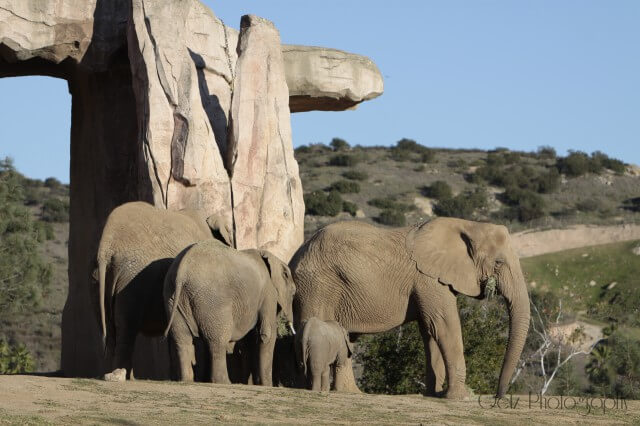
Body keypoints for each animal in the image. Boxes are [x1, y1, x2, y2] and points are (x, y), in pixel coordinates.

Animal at [93, 201, 233, 380]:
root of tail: (107, 244)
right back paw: (125, 376)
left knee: (112, 332)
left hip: (99, 280)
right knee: (126, 329)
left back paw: (123, 375)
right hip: (131, 279)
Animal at [163, 240, 296, 385]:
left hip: (173, 298)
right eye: (293, 293)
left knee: (183, 339)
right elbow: (267, 333)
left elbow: (251, 337)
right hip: (213, 300)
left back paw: (187, 380)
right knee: (218, 340)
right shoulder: (269, 292)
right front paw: (266, 385)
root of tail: (182, 271)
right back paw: (224, 382)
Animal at [290, 217, 530, 399]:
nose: (498, 396)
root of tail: (296, 255)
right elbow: (444, 326)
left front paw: (434, 394)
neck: (468, 224)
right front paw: (460, 397)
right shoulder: (428, 279)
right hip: (317, 286)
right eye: (498, 263)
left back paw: (351, 393)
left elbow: (430, 331)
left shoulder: (431, 280)